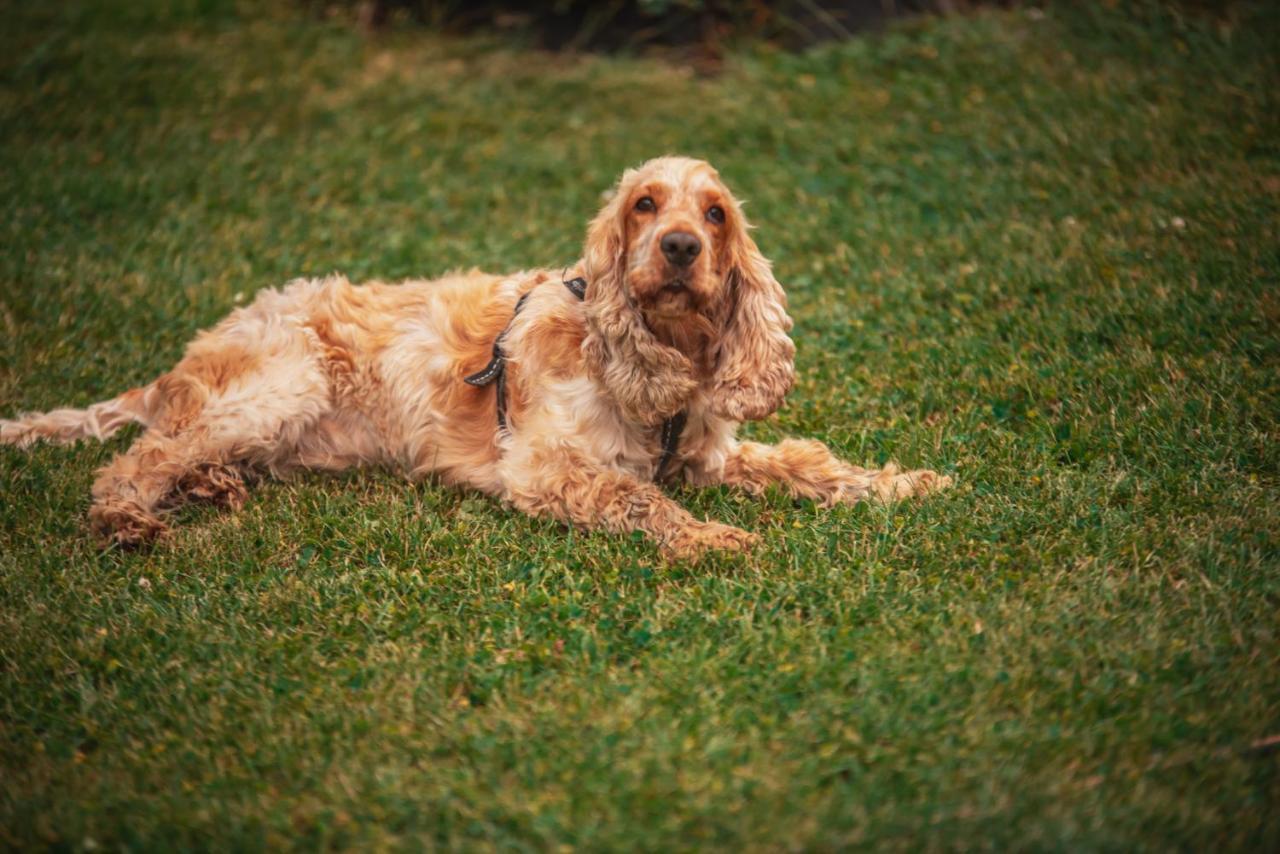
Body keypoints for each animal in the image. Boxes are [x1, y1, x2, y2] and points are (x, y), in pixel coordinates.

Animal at [2, 156, 952, 558]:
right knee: (134, 460)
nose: (680, 247)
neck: (659, 356)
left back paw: (209, 486)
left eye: (714, 214)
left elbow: (807, 462)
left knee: (184, 452)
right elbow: (635, 496)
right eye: (644, 207)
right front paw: (710, 538)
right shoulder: (545, 464)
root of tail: (180, 361)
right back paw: (129, 520)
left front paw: (906, 483)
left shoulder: (711, 452)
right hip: (283, 378)